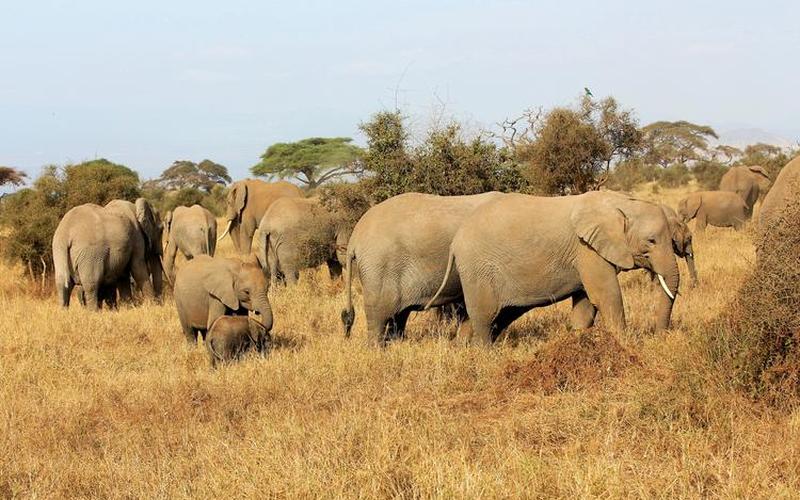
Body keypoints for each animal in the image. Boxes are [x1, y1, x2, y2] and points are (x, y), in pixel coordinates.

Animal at [424, 189, 680, 346]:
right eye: (651, 241)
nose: (661, 336)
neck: (620, 202)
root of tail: (455, 241)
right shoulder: (587, 249)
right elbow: (605, 295)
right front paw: (624, 344)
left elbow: (585, 304)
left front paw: (580, 342)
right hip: (478, 270)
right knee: (485, 315)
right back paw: (485, 354)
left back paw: (462, 347)